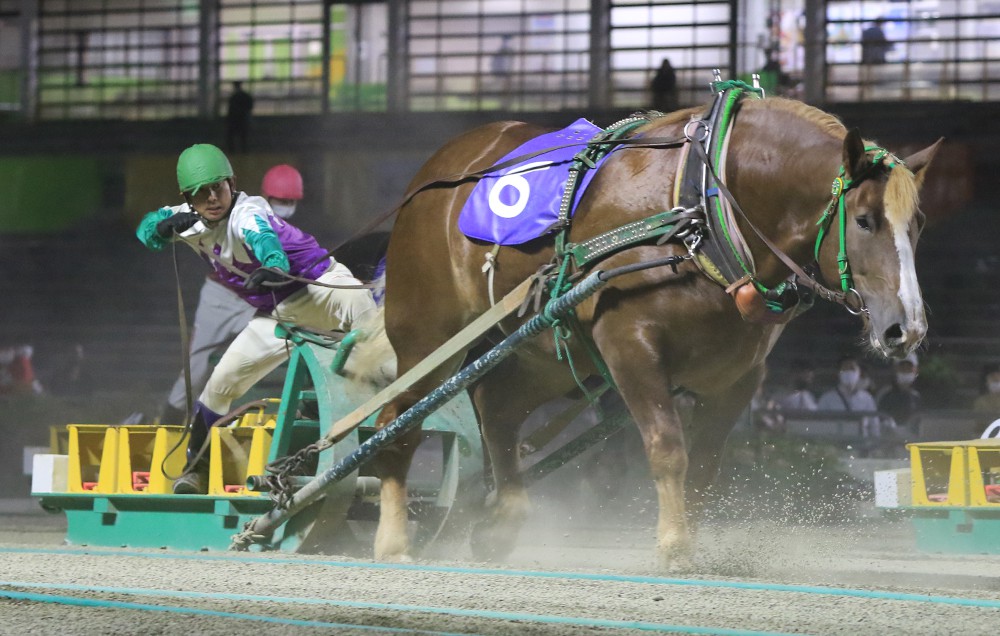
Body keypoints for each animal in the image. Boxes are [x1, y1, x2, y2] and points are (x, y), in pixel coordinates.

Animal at [368, 97, 936, 568]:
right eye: (863, 220)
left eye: (918, 225)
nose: (905, 328)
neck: (699, 211)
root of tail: (437, 172)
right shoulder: (629, 346)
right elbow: (667, 448)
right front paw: (674, 545)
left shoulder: (738, 376)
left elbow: (704, 465)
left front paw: (689, 540)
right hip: (429, 335)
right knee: (397, 421)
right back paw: (393, 539)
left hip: (552, 352)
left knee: (498, 406)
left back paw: (502, 522)